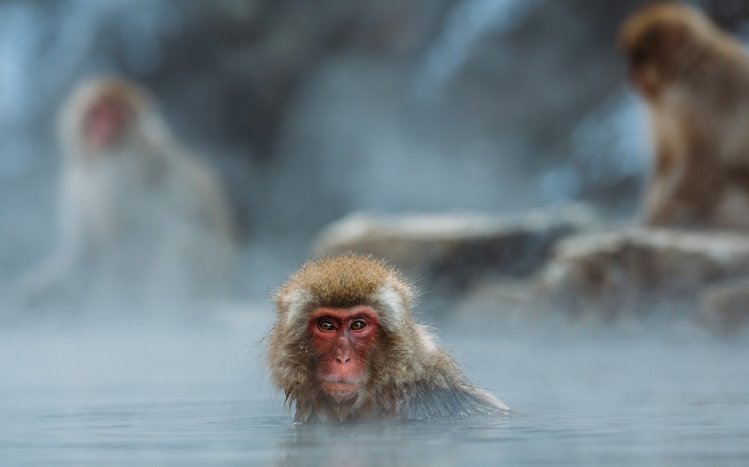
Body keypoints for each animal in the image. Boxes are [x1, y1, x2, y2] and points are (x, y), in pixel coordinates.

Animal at [12, 77, 237, 311]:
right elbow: (84, 253)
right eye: (98, 112)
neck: (100, 161)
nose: (103, 130)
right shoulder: (75, 181)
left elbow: (125, 245)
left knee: (178, 237)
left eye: (117, 117)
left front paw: (108, 300)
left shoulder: (120, 179)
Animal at [620, 2, 749, 230]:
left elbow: (703, 160)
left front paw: (658, 217)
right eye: (632, 59)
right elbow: (666, 159)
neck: (685, 72)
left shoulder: (703, 102)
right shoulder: (659, 111)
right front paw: (649, 216)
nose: (631, 74)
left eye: (641, 58)